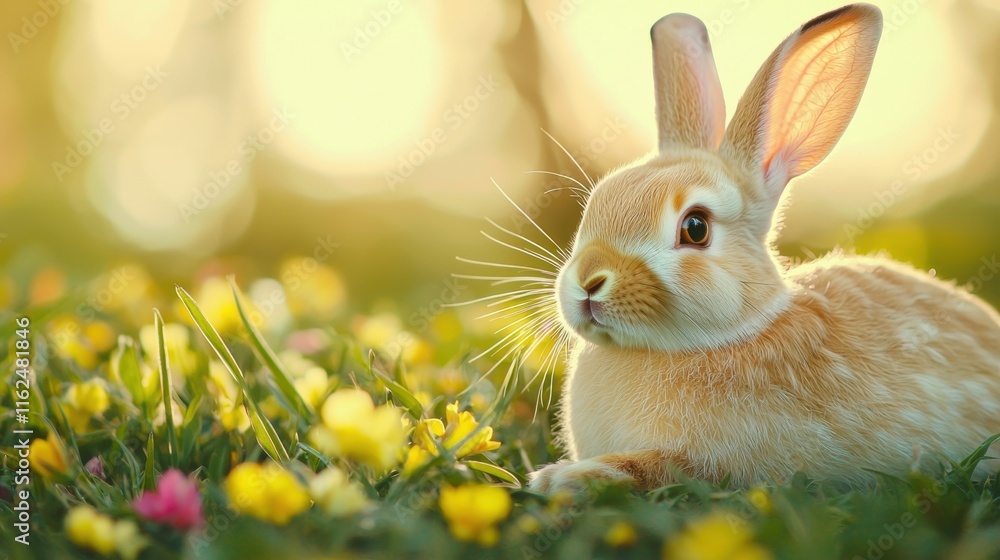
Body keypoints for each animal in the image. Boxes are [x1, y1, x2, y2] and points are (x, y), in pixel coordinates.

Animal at [528, 3, 1000, 493]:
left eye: (695, 228)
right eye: (596, 203)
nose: (588, 282)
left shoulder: (712, 466)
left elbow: (652, 467)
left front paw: (562, 479)